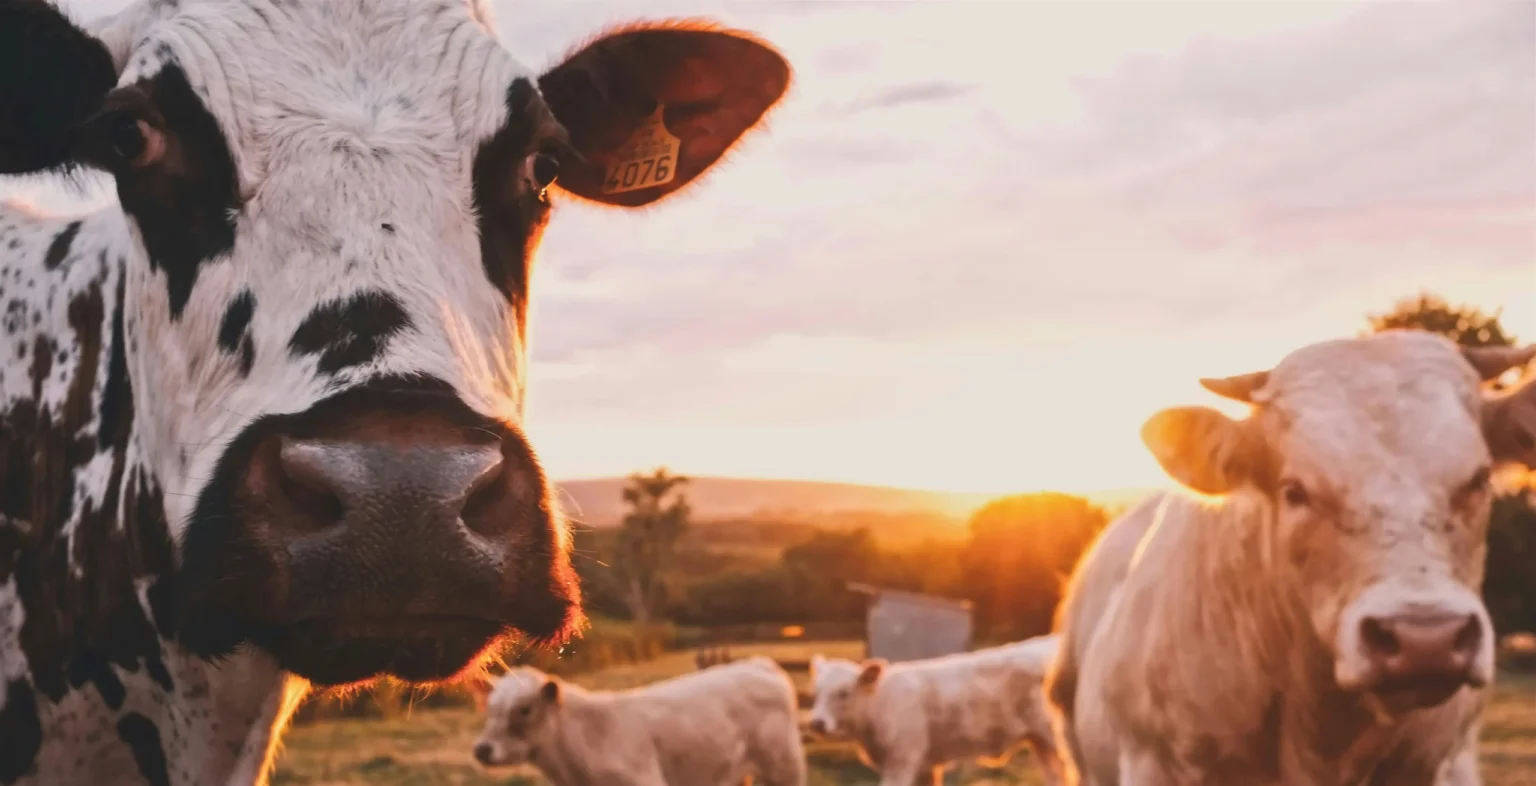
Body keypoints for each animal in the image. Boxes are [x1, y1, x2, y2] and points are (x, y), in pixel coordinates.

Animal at [807, 635, 1066, 786]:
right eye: (816, 692)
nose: (816, 723)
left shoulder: (902, 759)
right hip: (1041, 743)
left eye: (844, 693)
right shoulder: (925, 766)